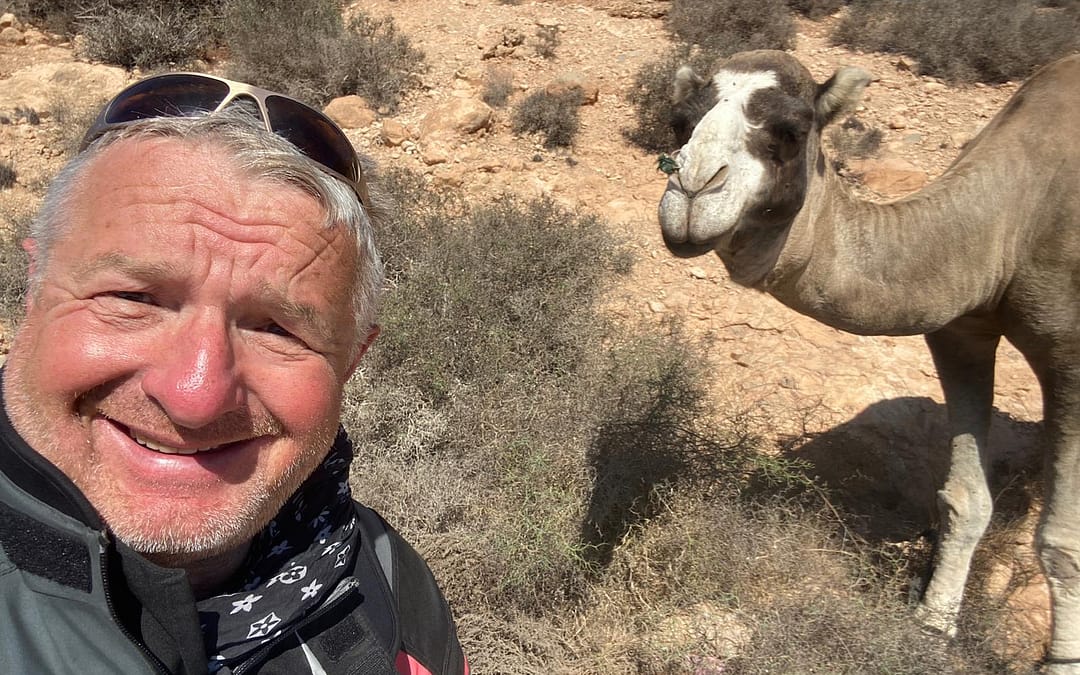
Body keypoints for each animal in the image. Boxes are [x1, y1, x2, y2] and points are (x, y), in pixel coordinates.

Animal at [656, 49, 1080, 670]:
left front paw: (1061, 661)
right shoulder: (962, 330)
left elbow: (1062, 542)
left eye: (792, 129)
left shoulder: (1071, 354)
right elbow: (965, 500)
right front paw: (931, 629)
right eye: (680, 122)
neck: (1008, 221)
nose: (691, 193)